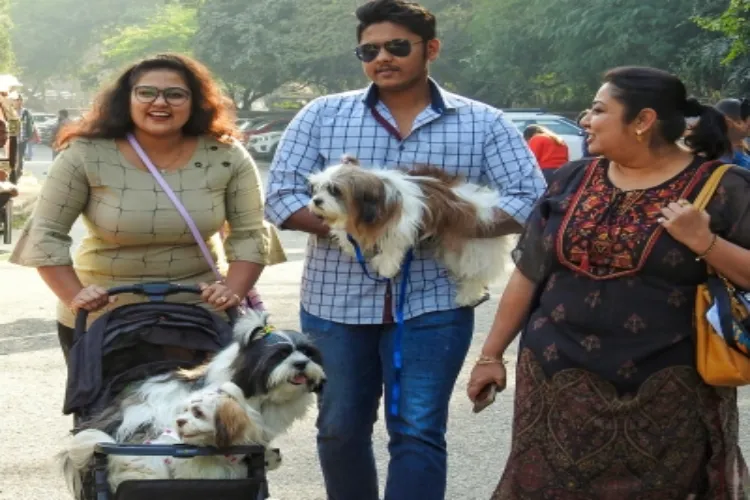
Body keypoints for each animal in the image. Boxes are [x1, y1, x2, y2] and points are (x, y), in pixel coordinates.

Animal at [308, 156, 516, 304]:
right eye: (316, 189)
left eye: (334, 190)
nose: (316, 201)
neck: (382, 200)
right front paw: (349, 242)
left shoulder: (403, 225)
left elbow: (393, 246)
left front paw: (386, 267)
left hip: (474, 248)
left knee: (474, 274)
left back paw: (467, 295)